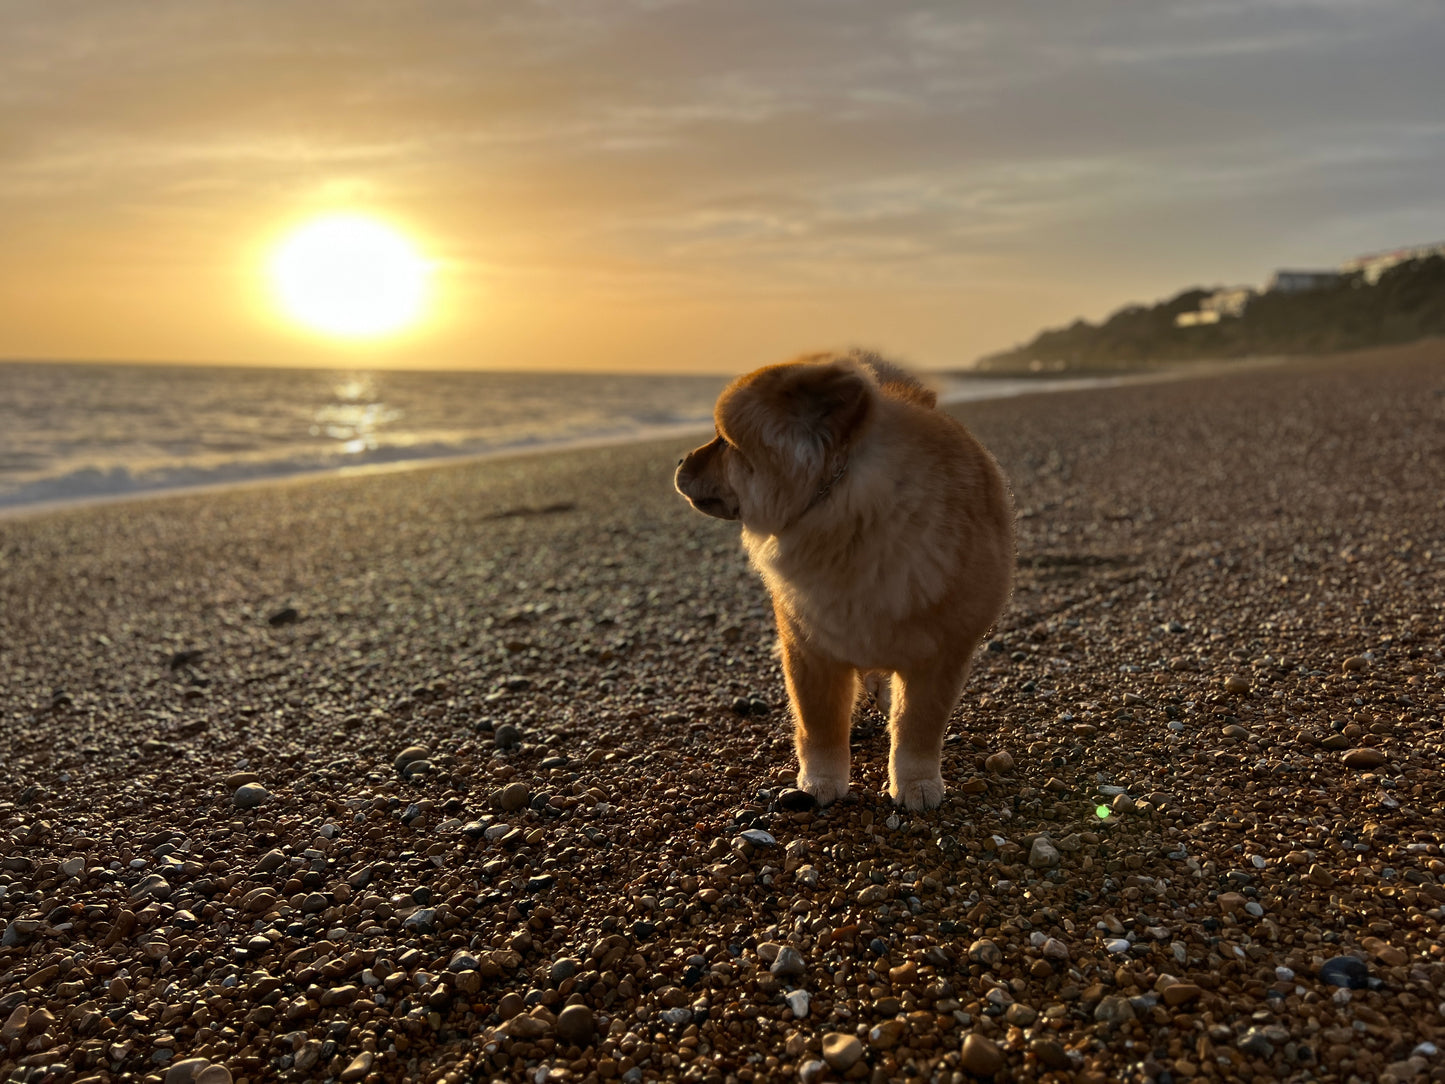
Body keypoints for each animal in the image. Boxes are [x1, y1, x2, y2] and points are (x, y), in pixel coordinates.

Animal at [676, 352, 1017, 809]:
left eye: (723, 442)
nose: (679, 461)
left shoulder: (943, 652)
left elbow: (918, 727)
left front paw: (916, 783)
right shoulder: (811, 646)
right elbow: (819, 725)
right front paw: (821, 781)